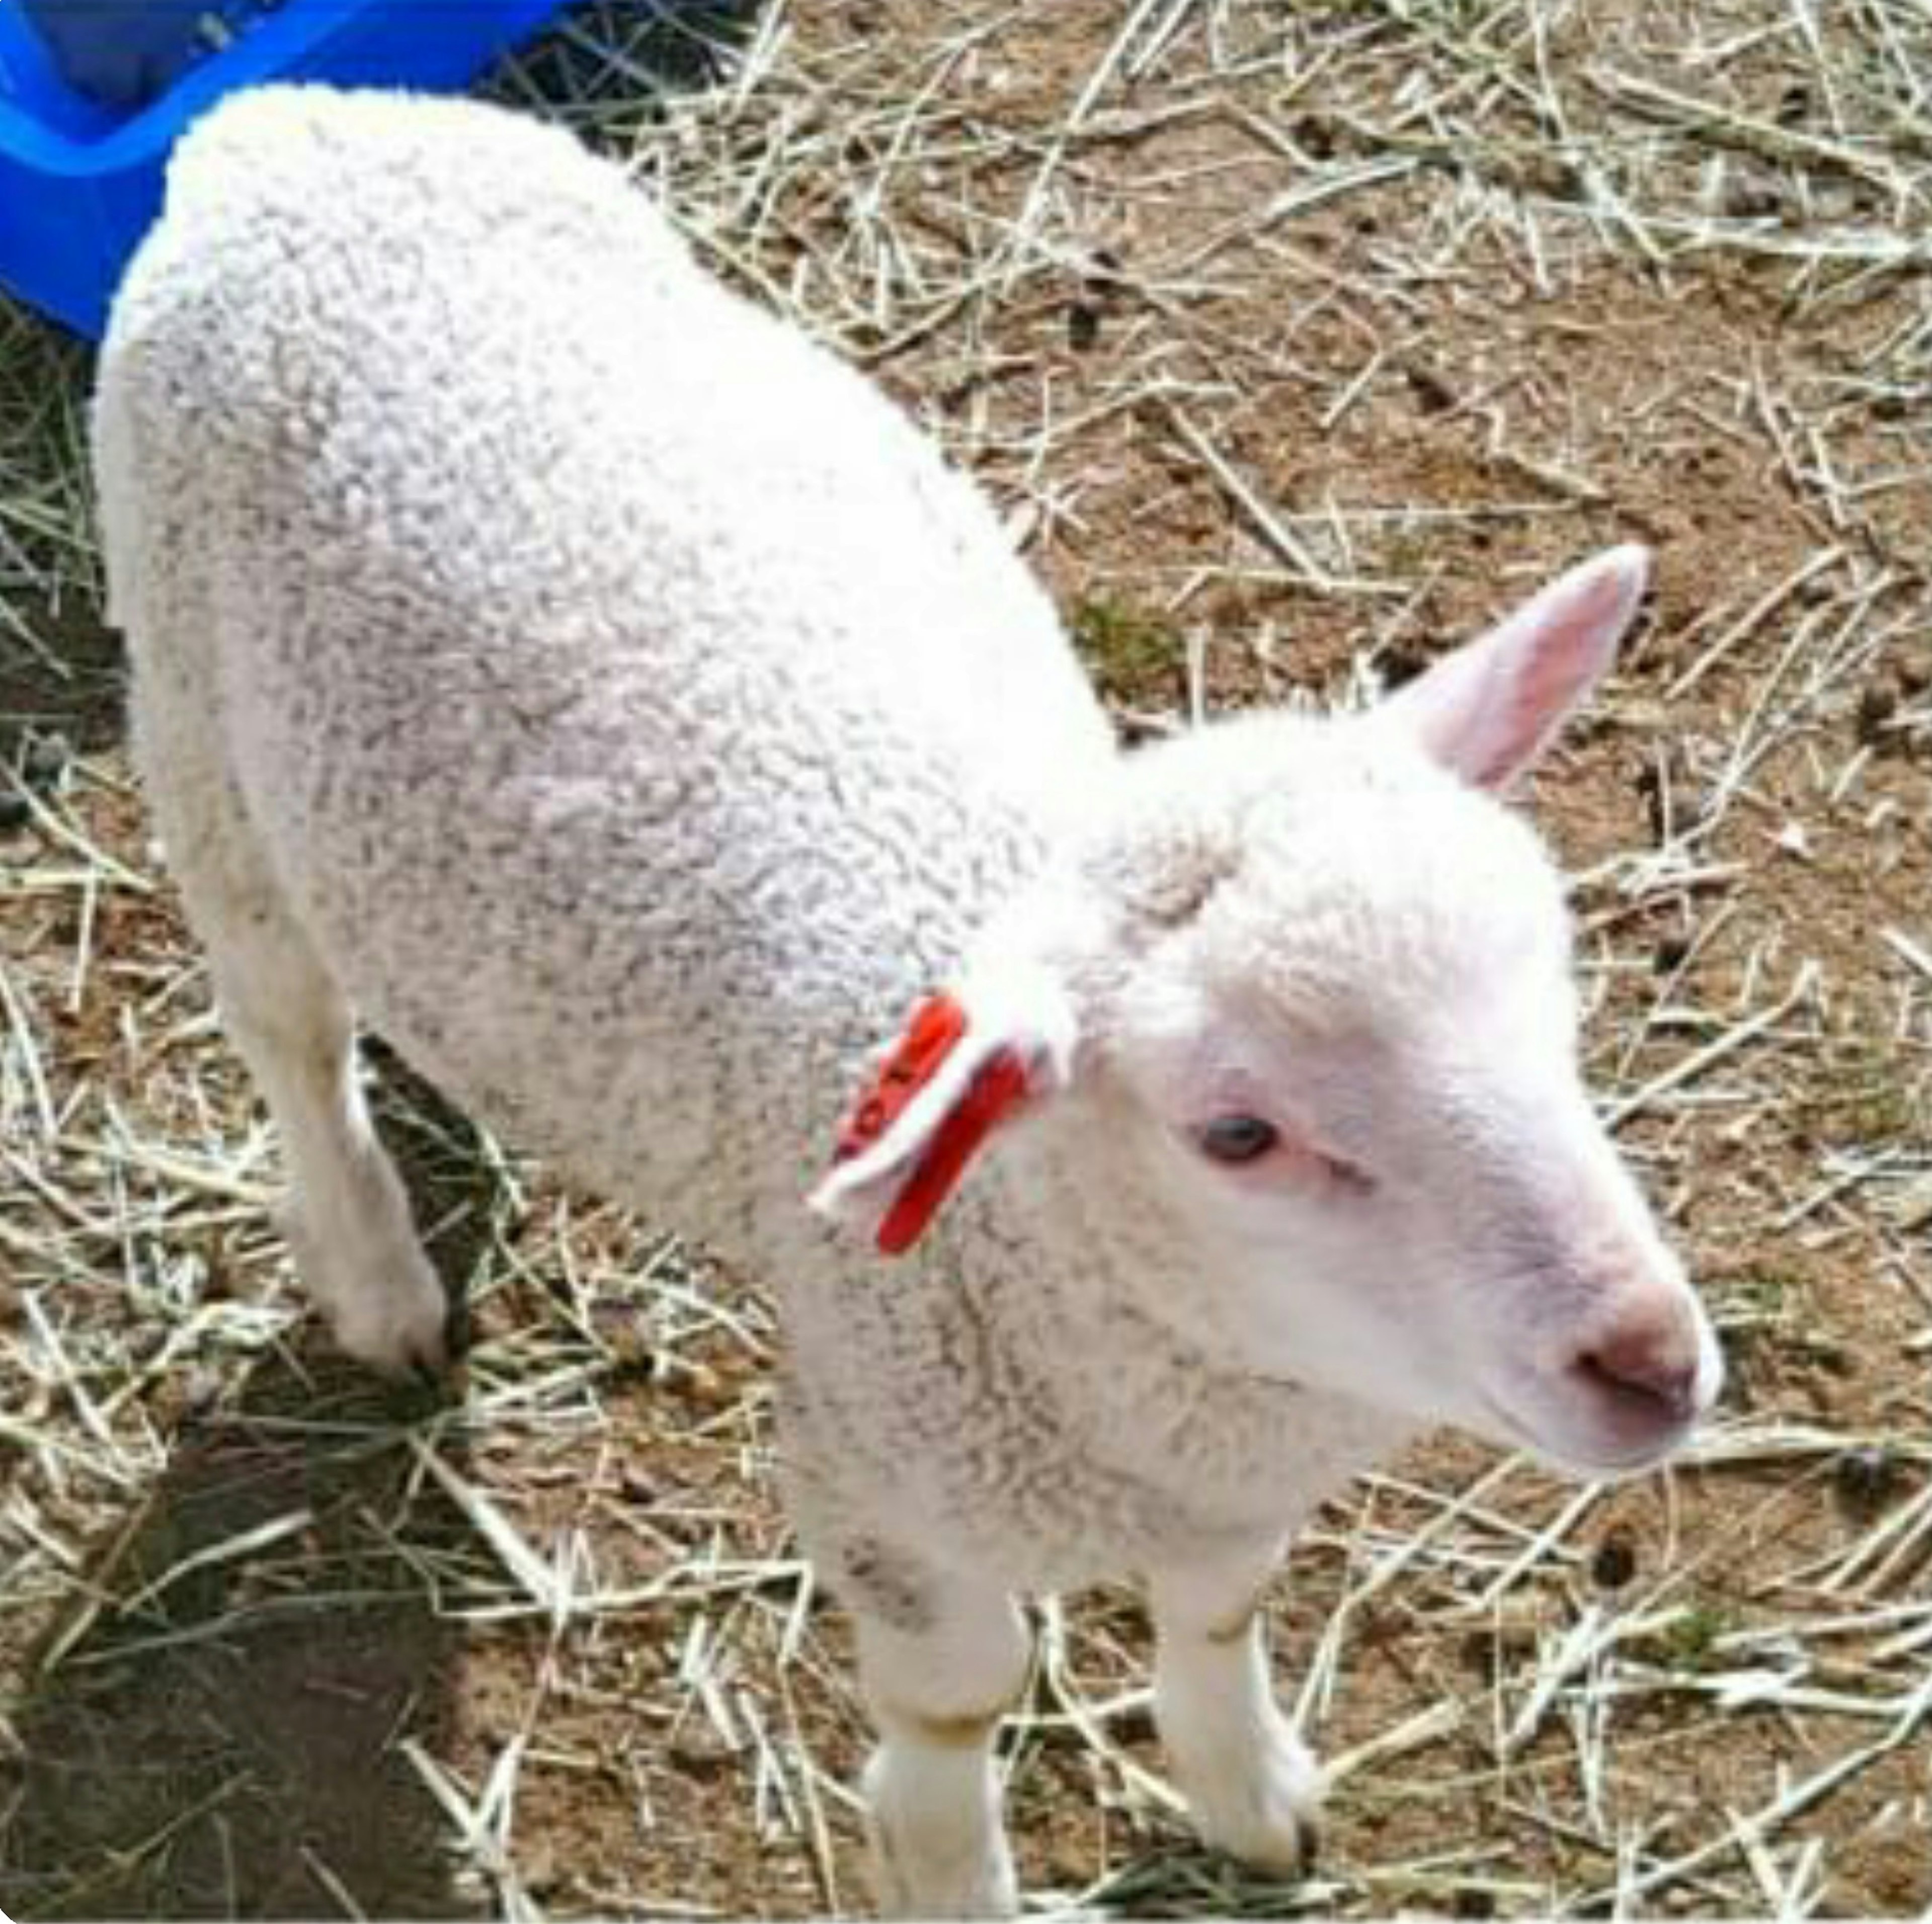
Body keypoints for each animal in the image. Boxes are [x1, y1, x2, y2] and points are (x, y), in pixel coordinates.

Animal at [94, 86, 1723, 1908]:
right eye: (1237, 1132)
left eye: (1553, 972)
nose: (1650, 1359)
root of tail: (275, 128)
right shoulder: (881, 1464)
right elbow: (959, 1705)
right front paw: (950, 1862)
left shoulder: (1226, 1475)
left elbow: (1221, 1615)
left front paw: (1247, 1787)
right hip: (195, 725)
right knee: (291, 1038)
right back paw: (377, 1277)